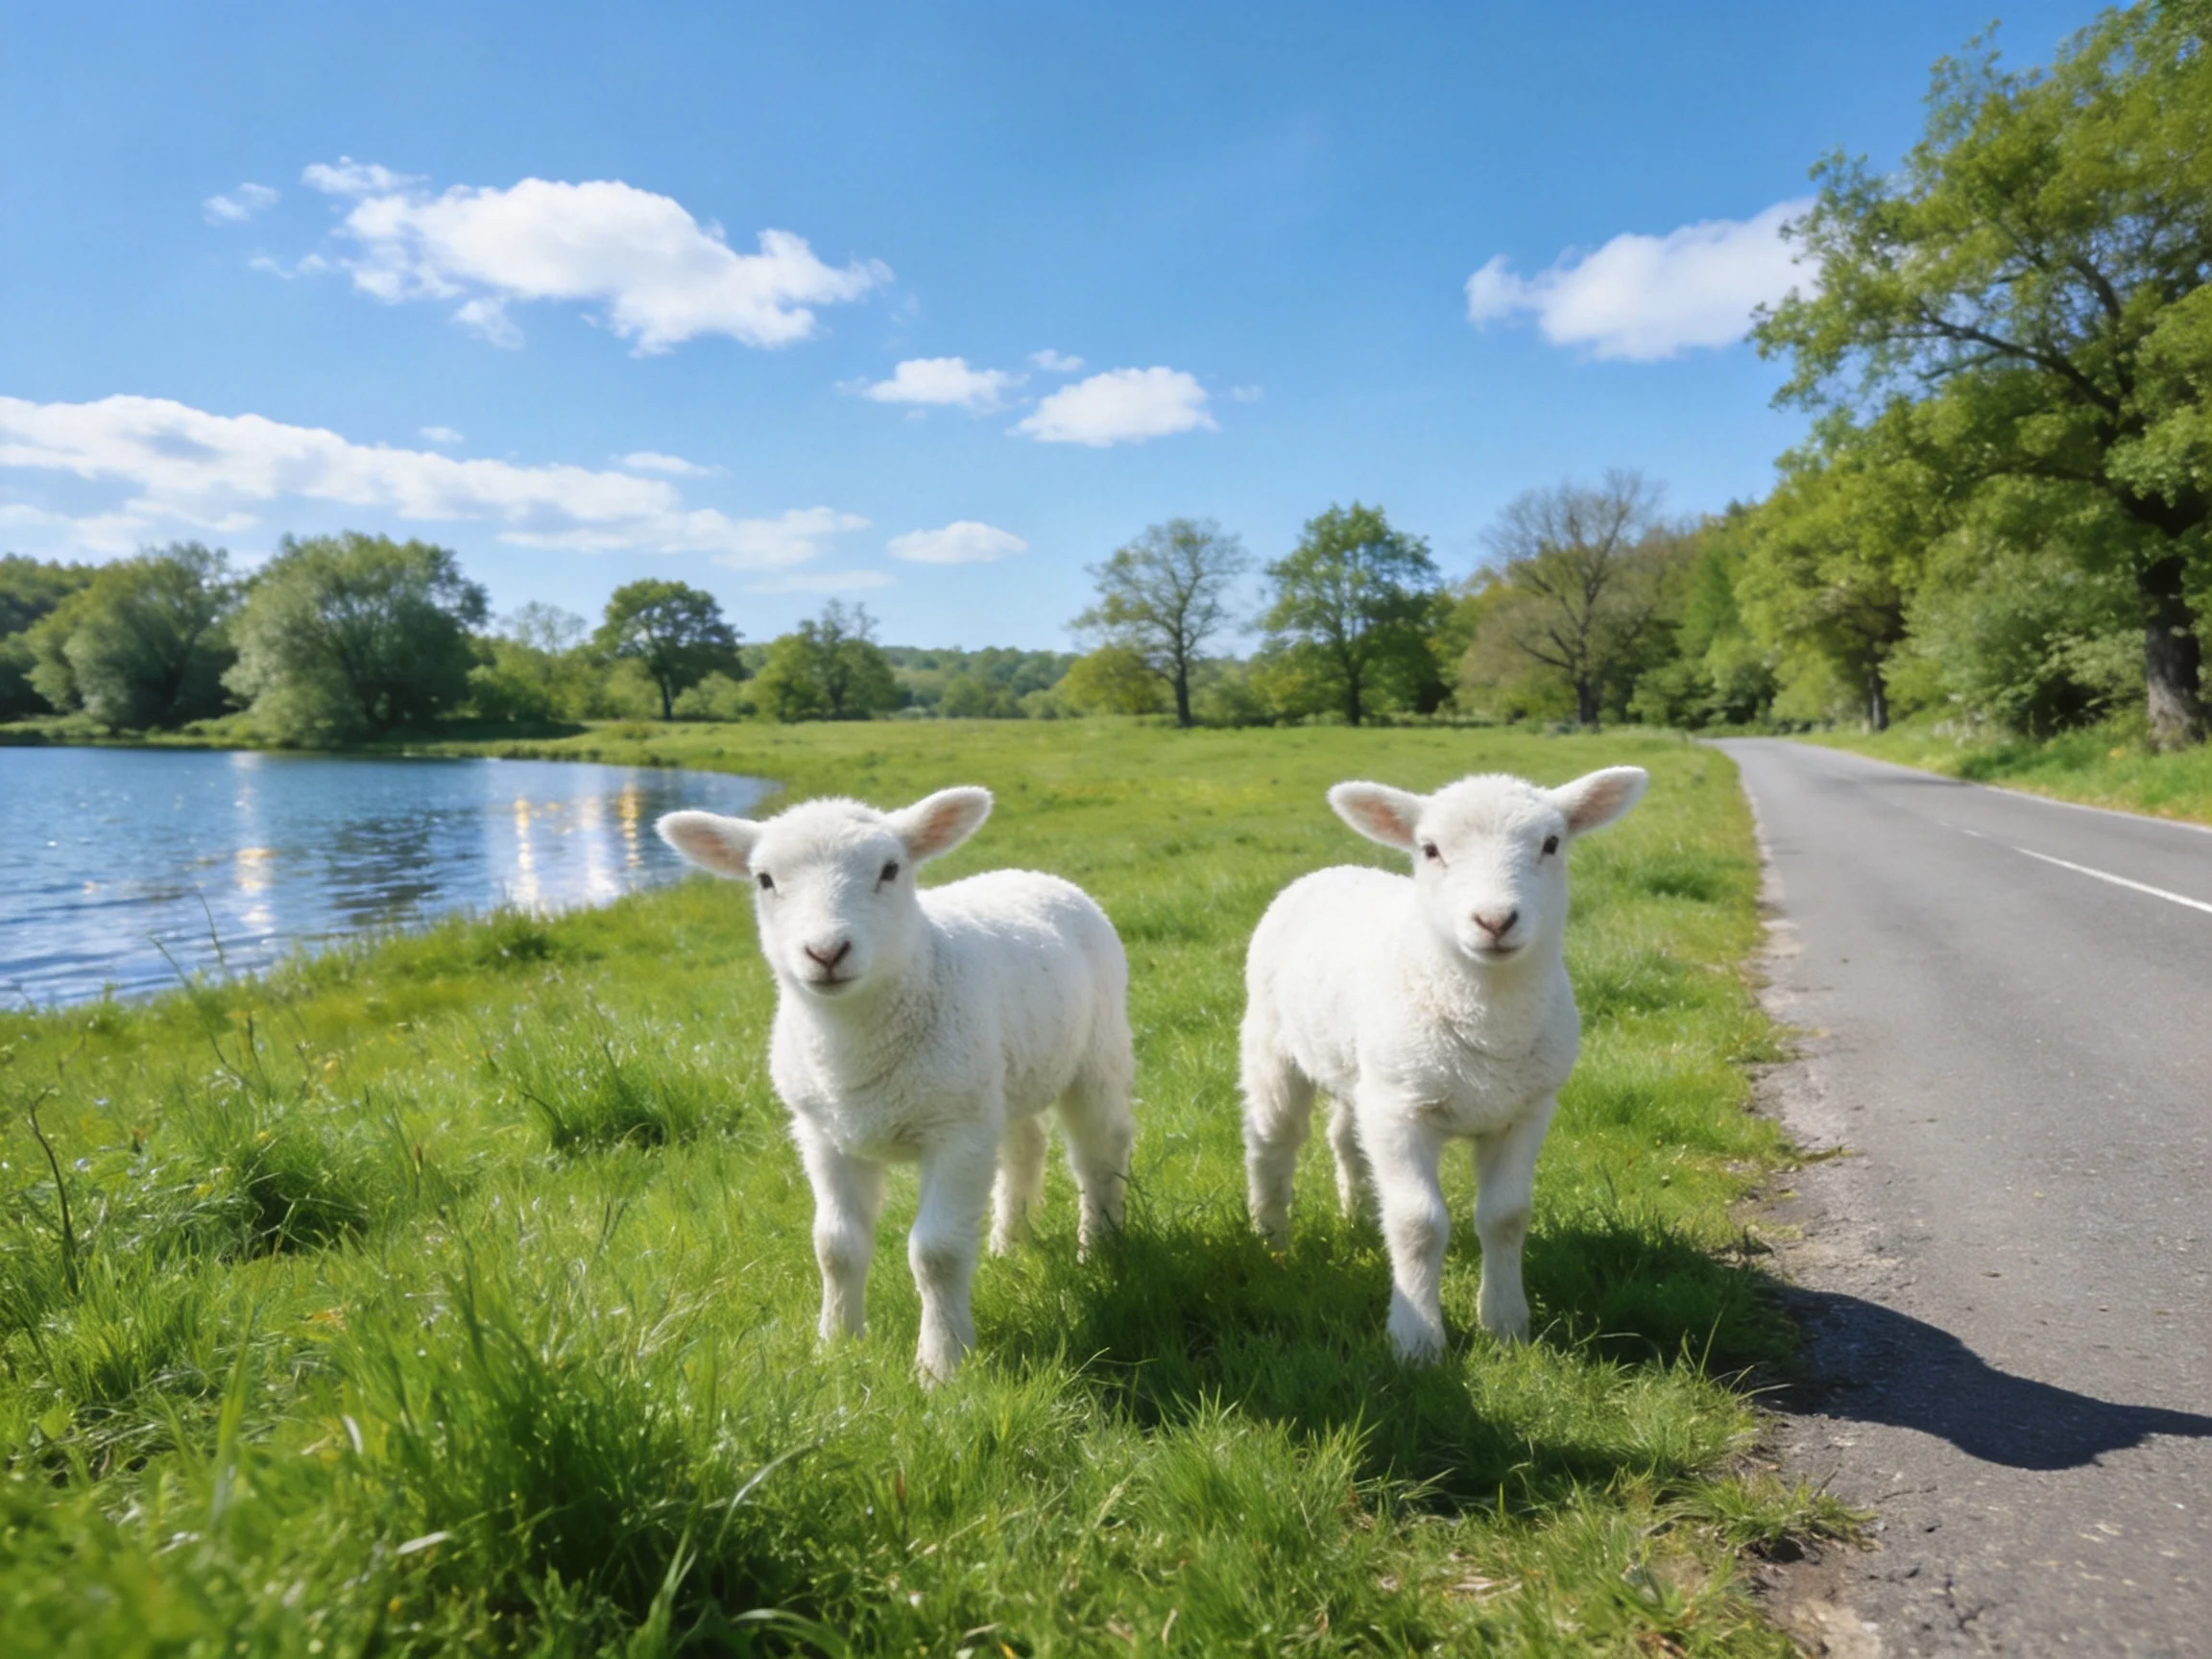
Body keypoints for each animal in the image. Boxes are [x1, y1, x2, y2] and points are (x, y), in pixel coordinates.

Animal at [656, 787, 1134, 1382]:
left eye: (890, 869)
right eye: (763, 879)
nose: (826, 953)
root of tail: (1032, 873)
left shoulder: (956, 1133)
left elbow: (937, 1253)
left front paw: (941, 1365)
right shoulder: (823, 1135)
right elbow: (835, 1246)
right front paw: (836, 1346)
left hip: (1095, 1052)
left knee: (1100, 1154)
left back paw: (1101, 1250)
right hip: (1001, 1077)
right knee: (1025, 1146)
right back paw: (1009, 1245)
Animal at [1239, 765, 1648, 1362]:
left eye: (1551, 844)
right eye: (1430, 850)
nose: (1495, 920)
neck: (1489, 1020)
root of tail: (1331, 870)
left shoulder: (1526, 1110)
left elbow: (1505, 1217)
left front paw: (1505, 1326)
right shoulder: (1402, 1113)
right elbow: (1418, 1223)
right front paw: (1417, 1341)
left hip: (1365, 1071)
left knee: (1347, 1140)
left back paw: (1359, 1217)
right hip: (1274, 1044)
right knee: (1273, 1143)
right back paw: (1272, 1239)